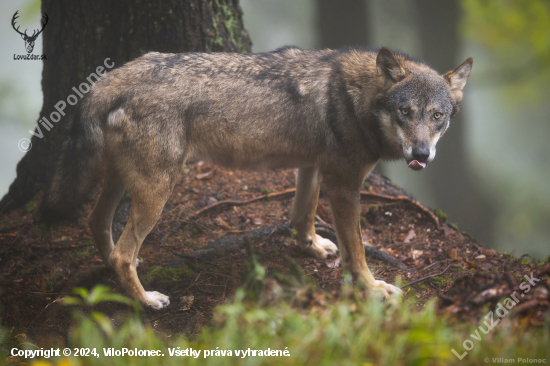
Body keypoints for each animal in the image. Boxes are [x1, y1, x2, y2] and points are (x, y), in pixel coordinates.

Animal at [42, 45, 474, 308]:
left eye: (437, 116)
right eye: (406, 112)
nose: (421, 154)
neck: (357, 98)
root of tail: (109, 78)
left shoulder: (313, 167)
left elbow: (301, 214)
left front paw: (312, 247)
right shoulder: (345, 185)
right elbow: (358, 251)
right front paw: (372, 289)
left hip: (124, 182)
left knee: (97, 225)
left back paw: (114, 278)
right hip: (157, 192)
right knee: (122, 252)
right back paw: (146, 301)